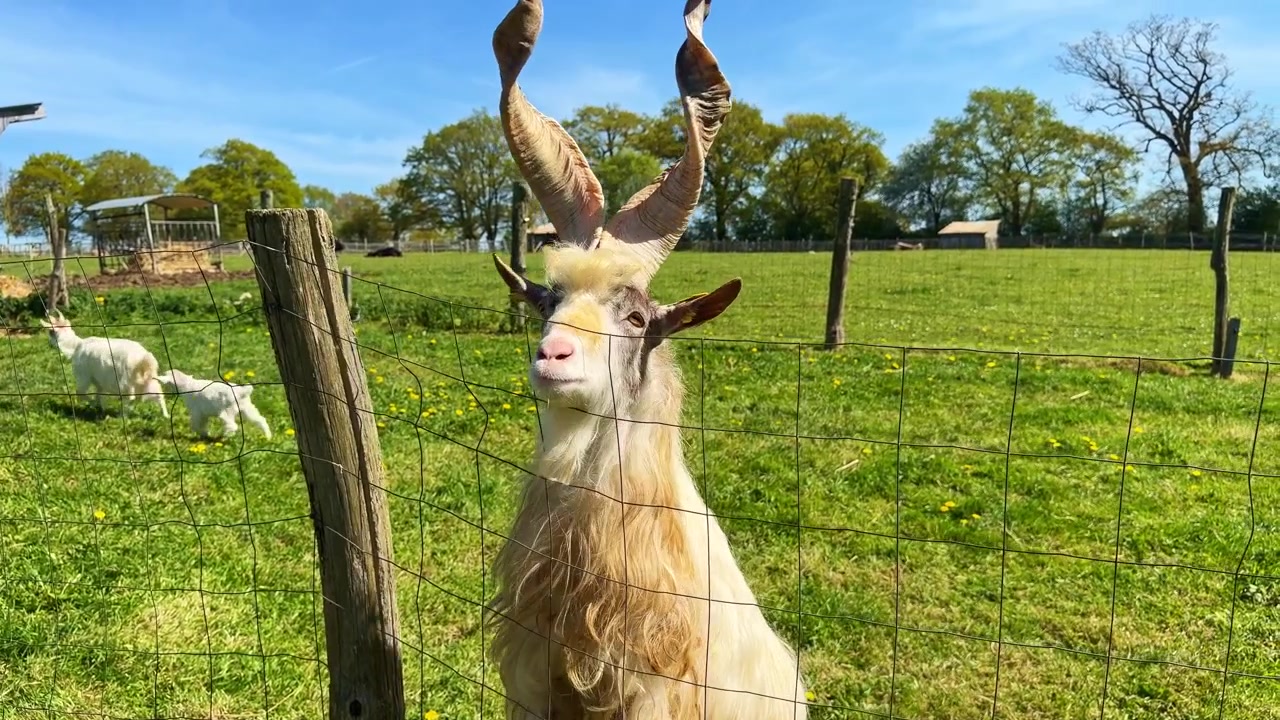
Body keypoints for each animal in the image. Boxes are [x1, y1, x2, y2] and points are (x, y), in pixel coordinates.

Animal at [40, 309, 169, 418]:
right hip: (149, 382)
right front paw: (100, 408)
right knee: (159, 396)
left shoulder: (83, 375)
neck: (76, 345)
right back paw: (166, 416)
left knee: (130, 398)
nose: (49, 344)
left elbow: (81, 393)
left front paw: (94, 405)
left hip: (125, 383)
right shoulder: (99, 381)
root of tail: (143, 359)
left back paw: (122, 416)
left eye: (50, 332)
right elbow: (99, 394)